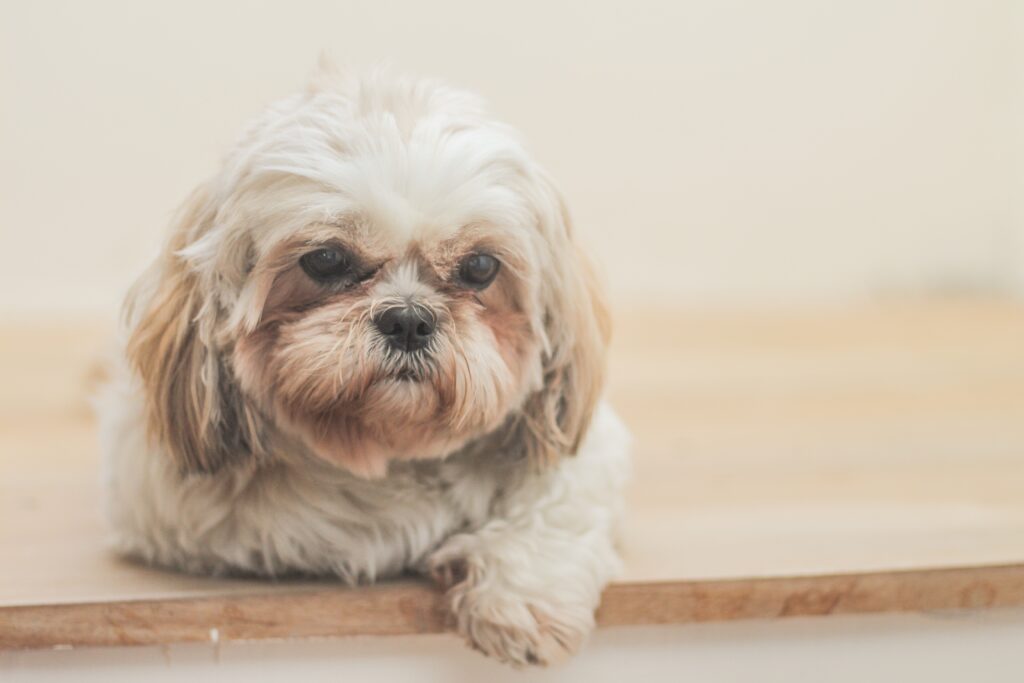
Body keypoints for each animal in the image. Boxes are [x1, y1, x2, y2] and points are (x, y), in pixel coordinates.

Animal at [101, 65, 630, 667]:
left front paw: (521, 600)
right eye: (326, 259)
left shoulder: (583, 453)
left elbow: (556, 506)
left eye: (479, 266)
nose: (408, 319)